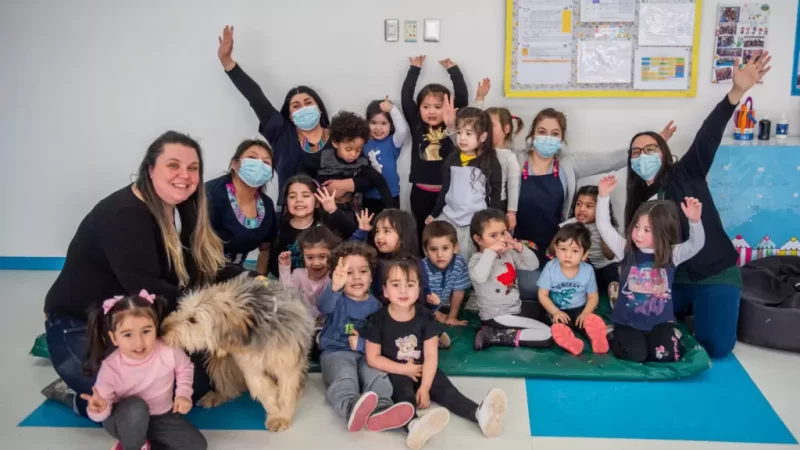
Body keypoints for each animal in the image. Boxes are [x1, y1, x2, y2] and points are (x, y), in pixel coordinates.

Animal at [161, 272, 314, 430]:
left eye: (193, 320)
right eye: (181, 309)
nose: (162, 329)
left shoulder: (287, 362)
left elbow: (286, 390)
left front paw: (281, 417)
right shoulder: (249, 365)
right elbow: (261, 387)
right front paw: (274, 408)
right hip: (220, 359)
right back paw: (218, 395)